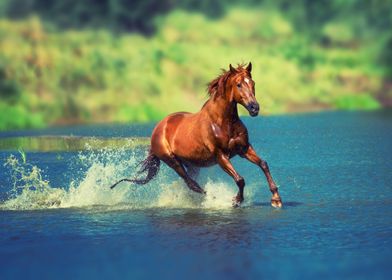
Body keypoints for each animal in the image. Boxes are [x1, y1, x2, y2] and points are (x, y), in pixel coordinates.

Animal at [110, 63, 282, 208]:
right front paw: (236, 200)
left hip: (191, 163)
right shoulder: (221, 156)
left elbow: (263, 164)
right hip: (172, 161)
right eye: (238, 84)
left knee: (191, 183)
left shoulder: (244, 148)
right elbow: (240, 179)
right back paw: (213, 199)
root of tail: (158, 129)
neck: (223, 122)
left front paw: (276, 199)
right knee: (192, 184)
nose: (254, 108)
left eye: (252, 83)